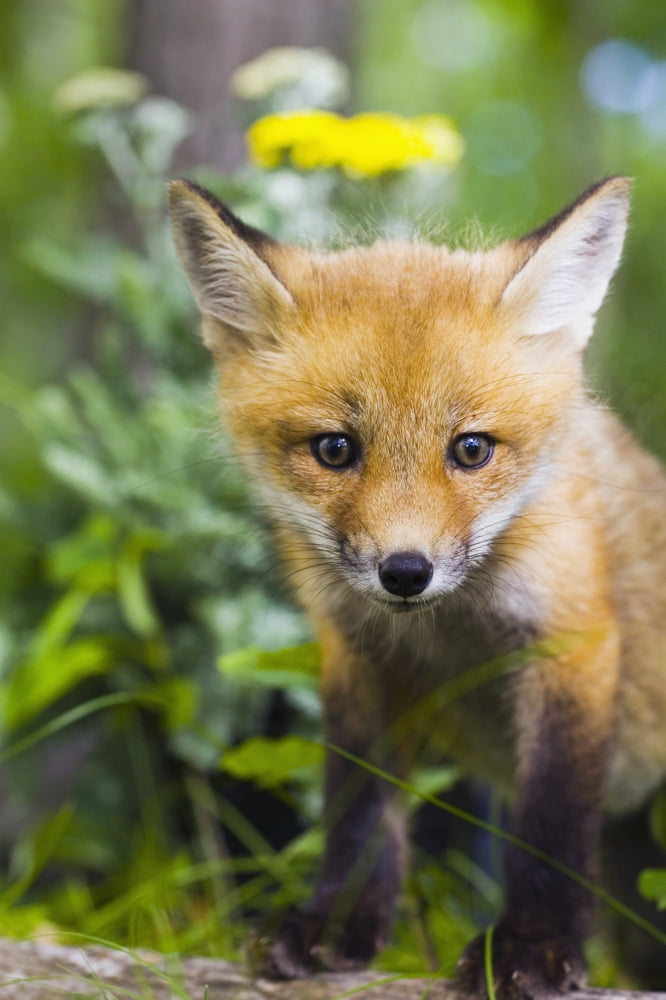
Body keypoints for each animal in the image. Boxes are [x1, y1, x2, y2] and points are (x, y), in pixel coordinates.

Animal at [169, 176, 666, 996]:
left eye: (471, 449)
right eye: (335, 449)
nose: (406, 570)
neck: (449, 627)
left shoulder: (571, 642)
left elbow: (551, 822)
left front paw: (530, 945)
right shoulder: (358, 655)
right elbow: (358, 809)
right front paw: (334, 924)